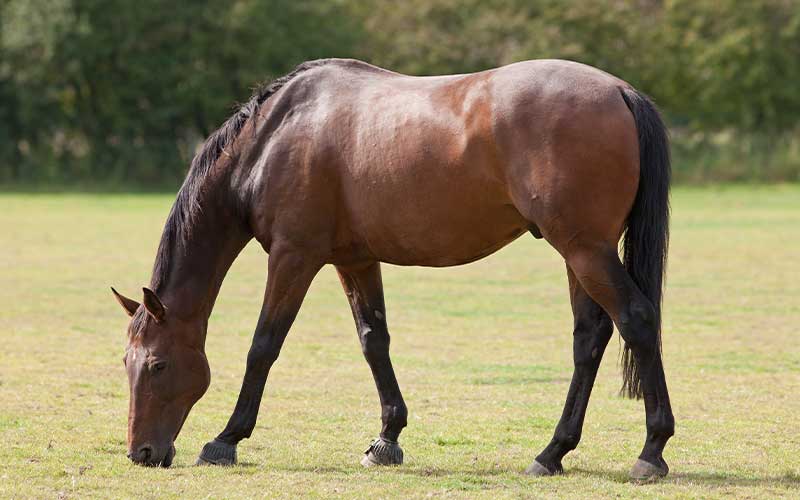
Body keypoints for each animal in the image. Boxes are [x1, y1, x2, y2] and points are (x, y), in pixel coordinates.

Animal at [112, 58, 673, 480]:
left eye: (158, 365)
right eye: (126, 363)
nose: (141, 454)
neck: (273, 139)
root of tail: (621, 91)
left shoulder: (294, 257)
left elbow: (263, 347)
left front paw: (226, 439)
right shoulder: (355, 260)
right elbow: (373, 341)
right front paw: (387, 439)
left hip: (585, 250)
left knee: (637, 320)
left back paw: (651, 451)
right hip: (579, 254)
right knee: (589, 338)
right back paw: (553, 452)